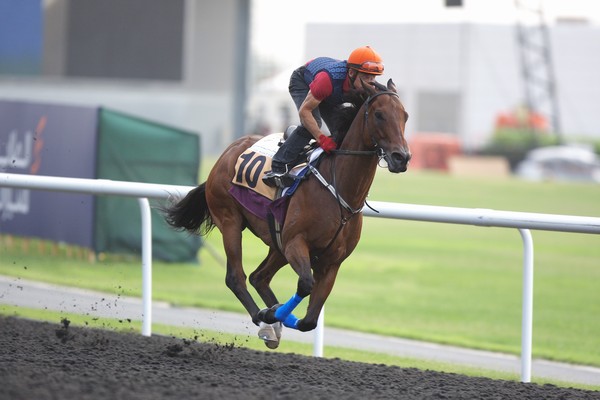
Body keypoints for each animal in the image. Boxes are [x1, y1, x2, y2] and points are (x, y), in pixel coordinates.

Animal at [163, 78, 408, 346]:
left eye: (405, 116)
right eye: (379, 114)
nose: (402, 157)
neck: (339, 190)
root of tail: (229, 151)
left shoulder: (332, 262)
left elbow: (310, 320)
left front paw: (277, 315)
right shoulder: (295, 243)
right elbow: (305, 284)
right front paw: (269, 314)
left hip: (276, 242)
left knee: (259, 277)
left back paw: (272, 322)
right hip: (230, 221)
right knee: (236, 277)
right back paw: (263, 318)